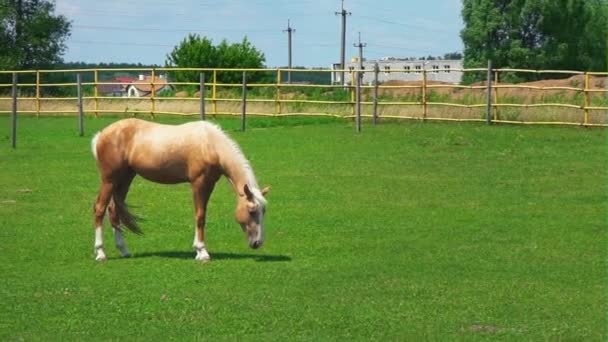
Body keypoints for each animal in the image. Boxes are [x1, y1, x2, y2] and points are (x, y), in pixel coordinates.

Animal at [89, 118, 268, 262]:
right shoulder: (199, 183)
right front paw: (202, 252)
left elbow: (202, 214)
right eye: (252, 211)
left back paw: (124, 250)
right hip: (109, 181)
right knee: (100, 209)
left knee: (113, 211)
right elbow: (200, 216)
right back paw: (100, 253)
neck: (210, 144)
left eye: (263, 212)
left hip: (125, 179)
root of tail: (101, 135)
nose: (257, 243)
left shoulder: (210, 183)